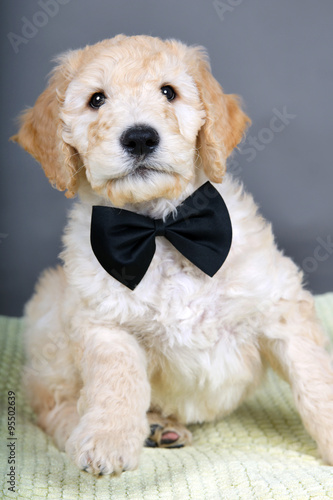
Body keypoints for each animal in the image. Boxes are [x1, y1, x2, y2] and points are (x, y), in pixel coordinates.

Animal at [13, 34, 332, 472]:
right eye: (96, 100)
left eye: (169, 92)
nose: (140, 138)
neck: (161, 230)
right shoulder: (105, 322)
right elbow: (116, 380)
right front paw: (107, 439)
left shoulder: (279, 306)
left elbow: (314, 379)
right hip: (51, 331)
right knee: (53, 406)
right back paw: (141, 428)